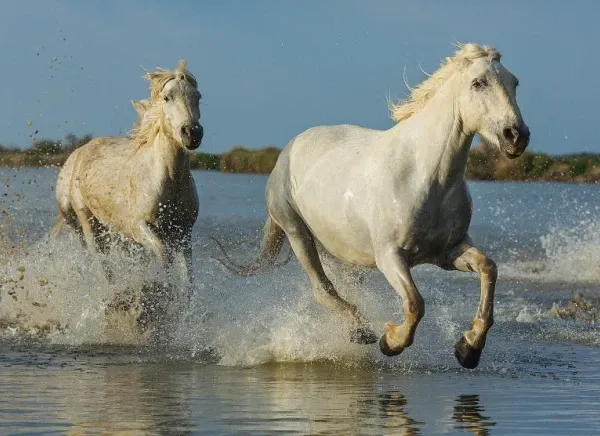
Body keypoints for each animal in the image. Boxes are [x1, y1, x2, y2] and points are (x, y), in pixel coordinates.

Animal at [52, 60, 202, 292]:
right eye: (167, 97)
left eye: (198, 97)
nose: (192, 133)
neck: (170, 180)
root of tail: (80, 151)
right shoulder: (139, 227)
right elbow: (164, 257)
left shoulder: (184, 233)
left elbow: (189, 279)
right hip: (88, 223)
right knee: (101, 264)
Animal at [218, 44, 528, 370]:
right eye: (478, 83)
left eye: (514, 82)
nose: (516, 136)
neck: (425, 175)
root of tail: (290, 148)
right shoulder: (390, 255)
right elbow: (415, 304)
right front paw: (390, 341)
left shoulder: (449, 251)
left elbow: (488, 268)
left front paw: (468, 349)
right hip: (296, 232)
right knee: (323, 290)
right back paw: (361, 332)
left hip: (339, 251)